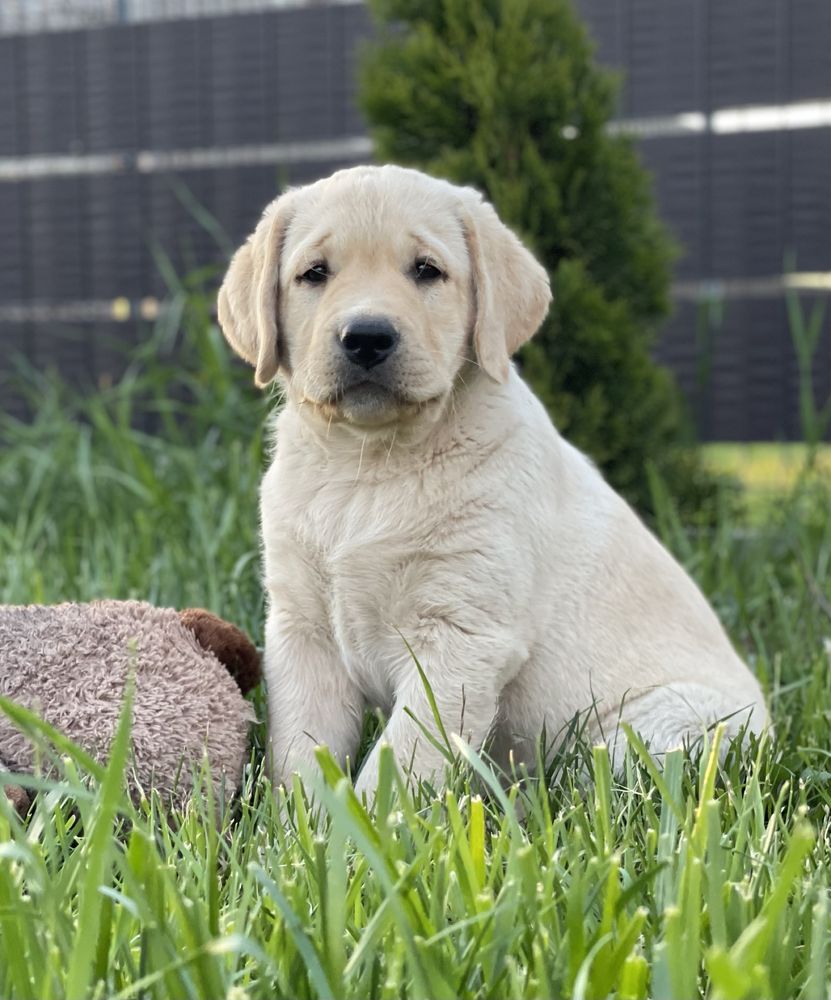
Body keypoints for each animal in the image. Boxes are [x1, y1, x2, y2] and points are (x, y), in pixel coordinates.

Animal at [218, 164, 772, 796]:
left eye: (426, 270)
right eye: (314, 273)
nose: (367, 337)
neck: (370, 464)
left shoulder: (462, 634)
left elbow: (404, 756)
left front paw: (372, 821)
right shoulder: (302, 629)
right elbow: (302, 751)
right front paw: (299, 816)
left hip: (658, 730)